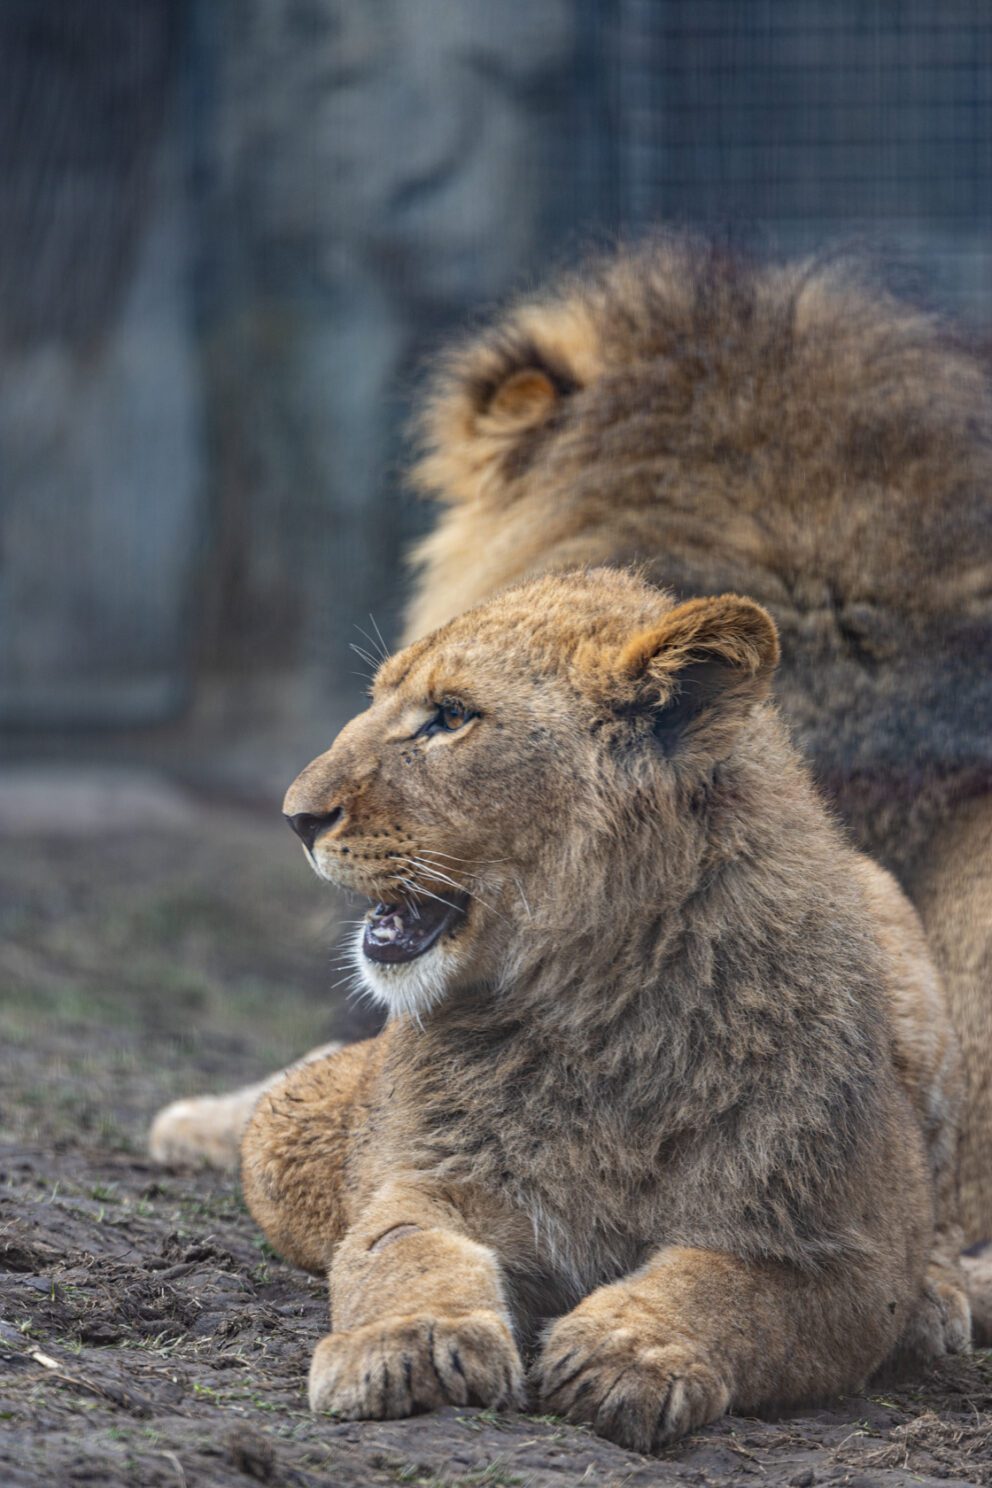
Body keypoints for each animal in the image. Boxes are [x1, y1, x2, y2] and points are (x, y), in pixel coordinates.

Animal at [240, 565, 969, 1440]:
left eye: (451, 716)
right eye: (380, 700)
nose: (295, 816)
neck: (594, 1018)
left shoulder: (846, 1252)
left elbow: (730, 1288)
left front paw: (626, 1354)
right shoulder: (425, 1177)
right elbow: (400, 1250)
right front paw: (411, 1343)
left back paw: (938, 1305)